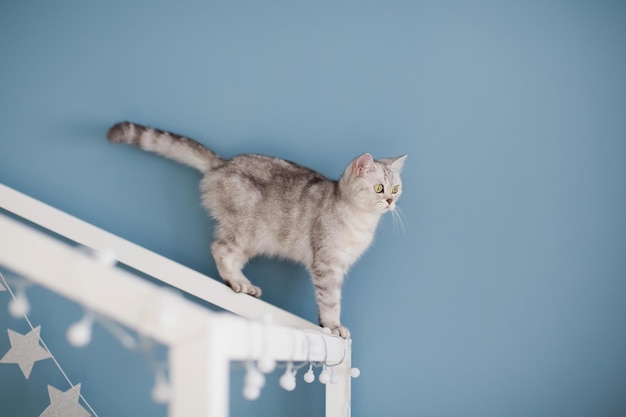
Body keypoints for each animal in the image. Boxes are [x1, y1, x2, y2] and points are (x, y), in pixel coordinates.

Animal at [106, 121, 404, 338]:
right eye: (379, 188)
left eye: (396, 189)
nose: (391, 201)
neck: (362, 222)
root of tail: (222, 163)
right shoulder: (328, 265)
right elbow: (331, 301)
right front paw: (333, 326)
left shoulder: (339, 267)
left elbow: (331, 301)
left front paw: (326, 324)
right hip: (248, 229)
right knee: (219, 249)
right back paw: (237, 282)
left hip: (254, 240)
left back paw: (244, 284)